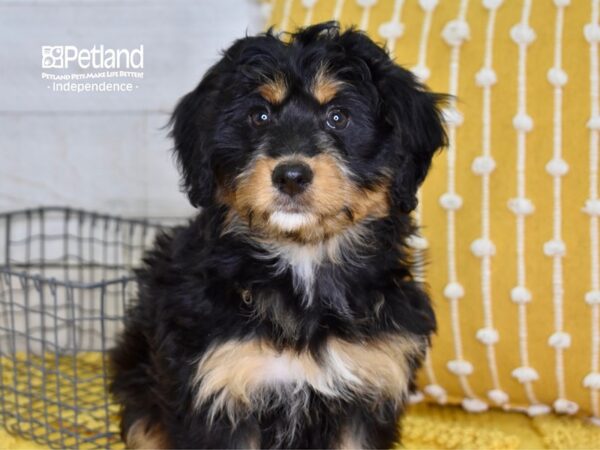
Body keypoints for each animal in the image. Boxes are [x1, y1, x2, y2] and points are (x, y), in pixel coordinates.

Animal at [109, 22, 446, 450]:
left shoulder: (369, 387)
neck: (302, 261)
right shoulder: (219, 387)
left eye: (338, 117)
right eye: (259, 115)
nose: (291, 175)